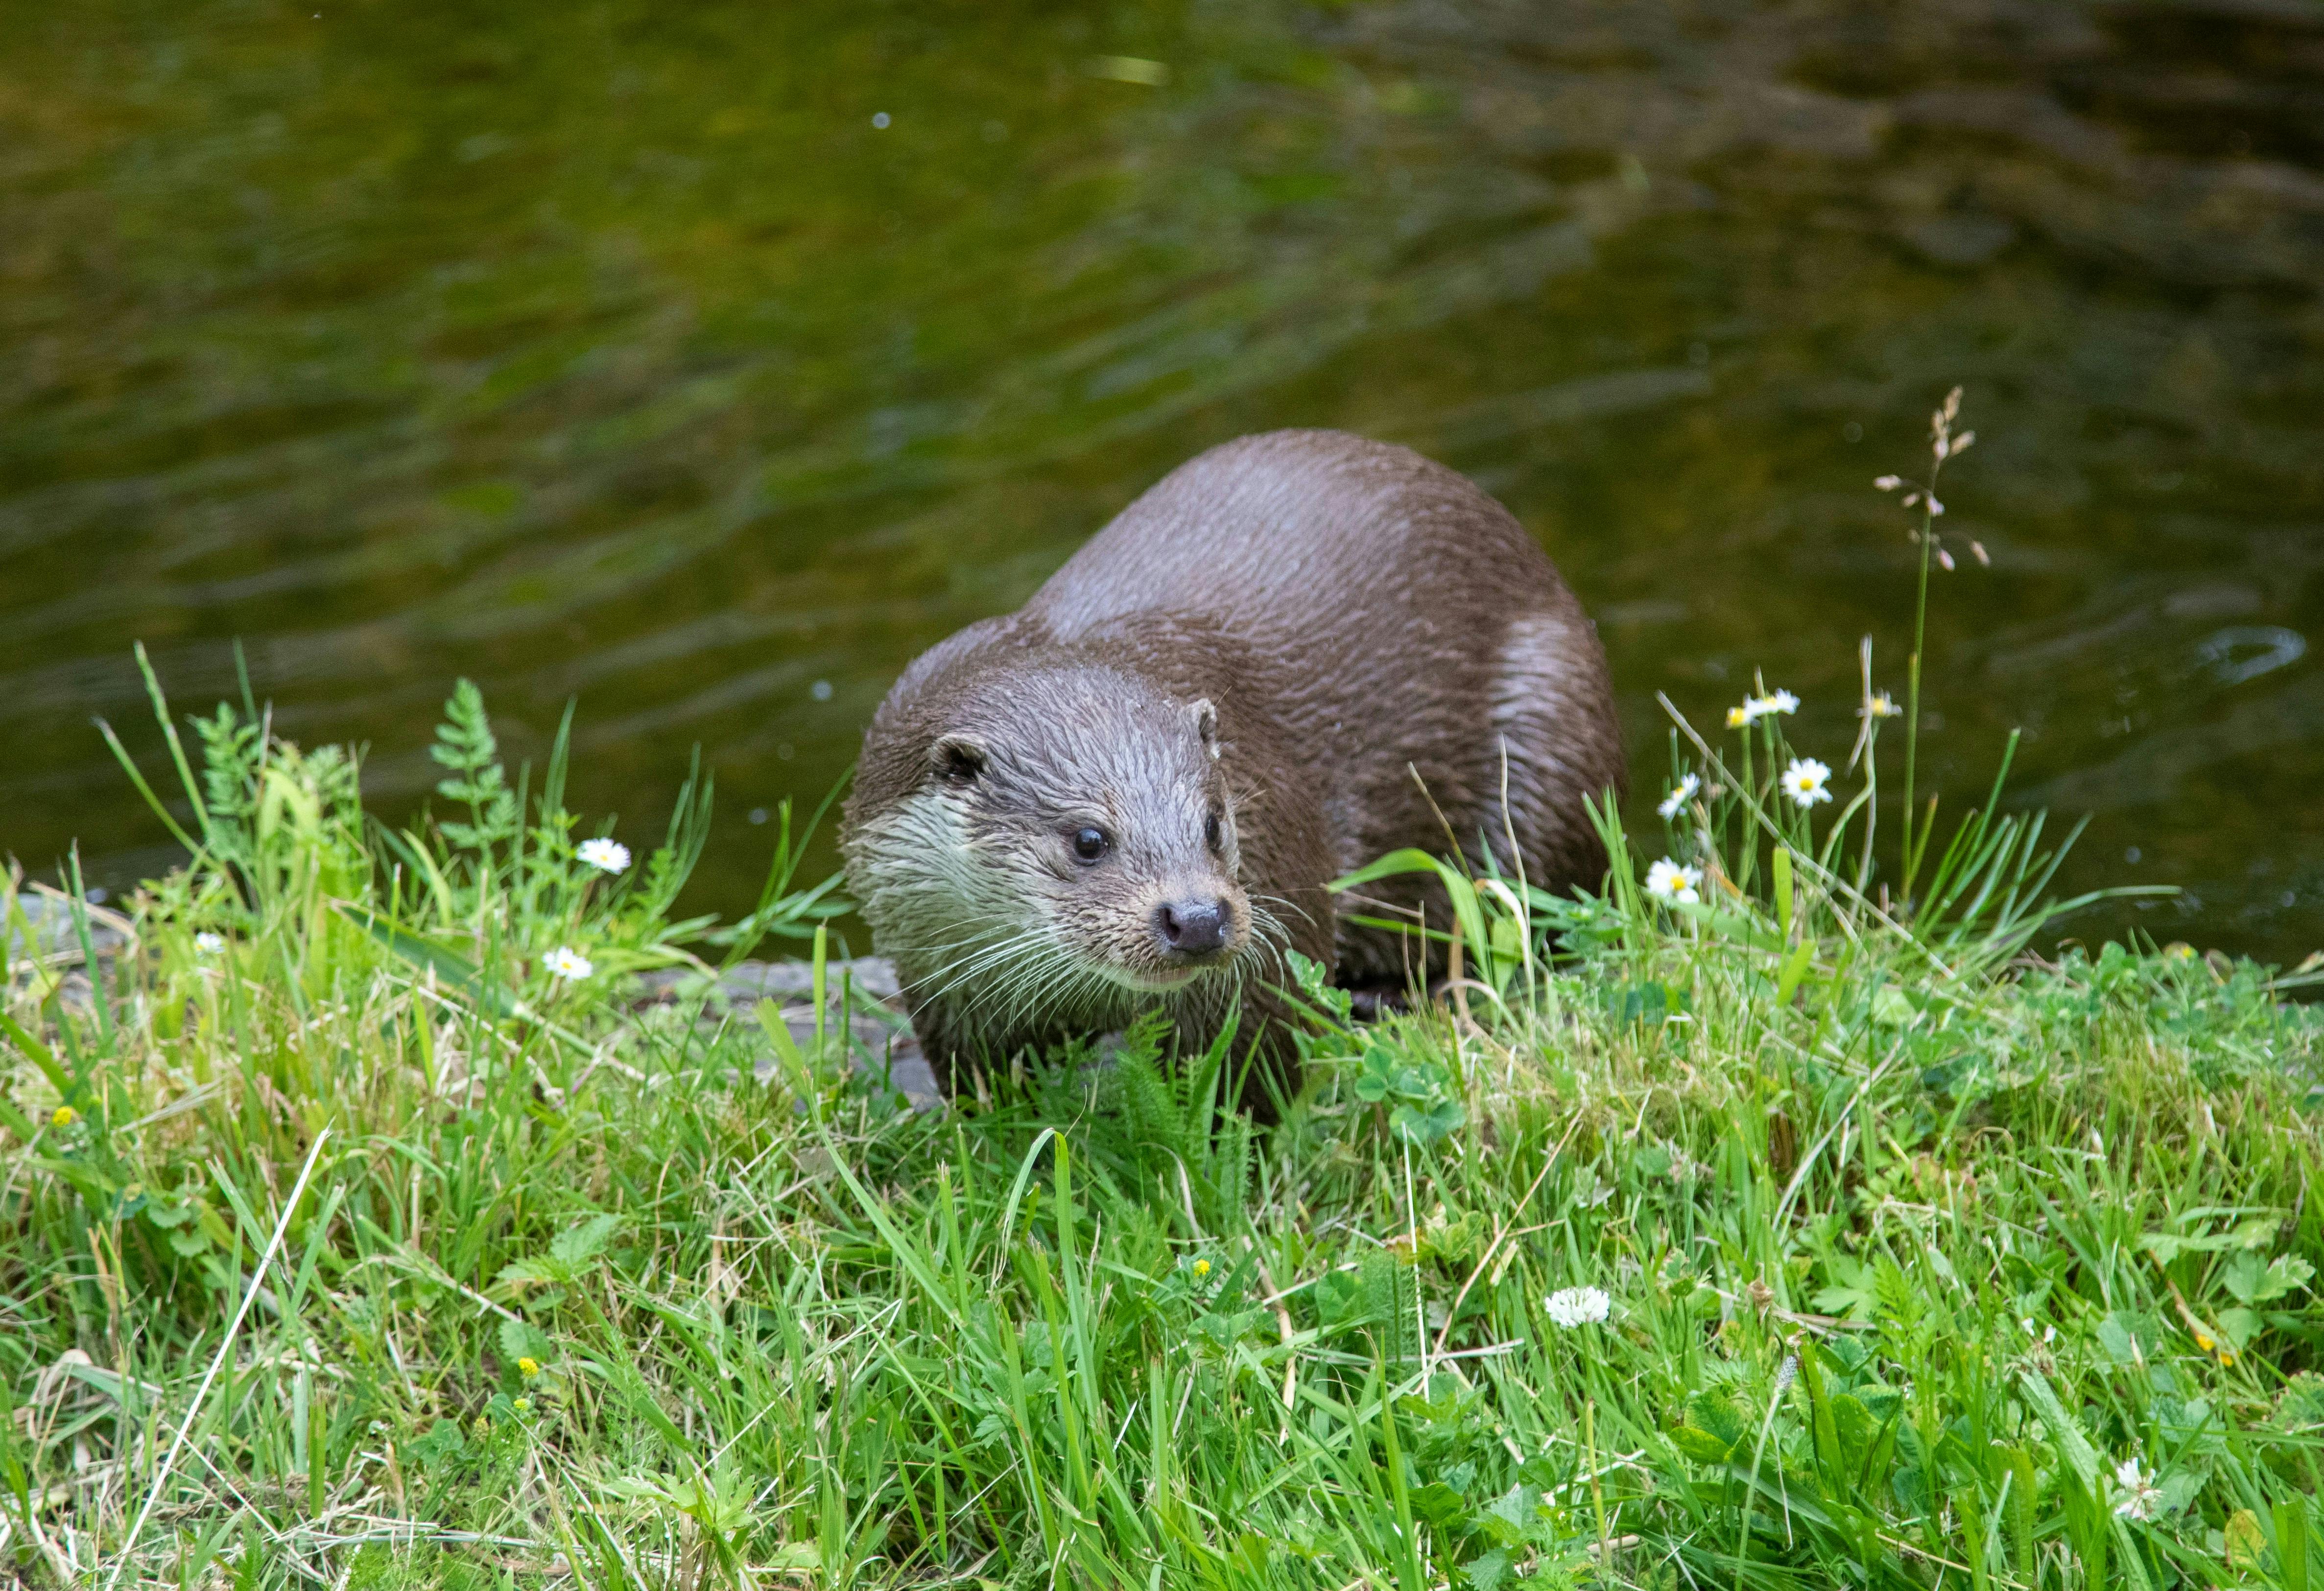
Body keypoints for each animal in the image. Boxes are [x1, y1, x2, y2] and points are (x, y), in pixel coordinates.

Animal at [846, 427, 1627, 1110]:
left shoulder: (1275, 890)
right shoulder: (936, 968)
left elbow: (1256, 1076)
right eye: (1088, 840)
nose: (1197, 916)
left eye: (1214, 823)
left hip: (1549, 735)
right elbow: (978, 1079)